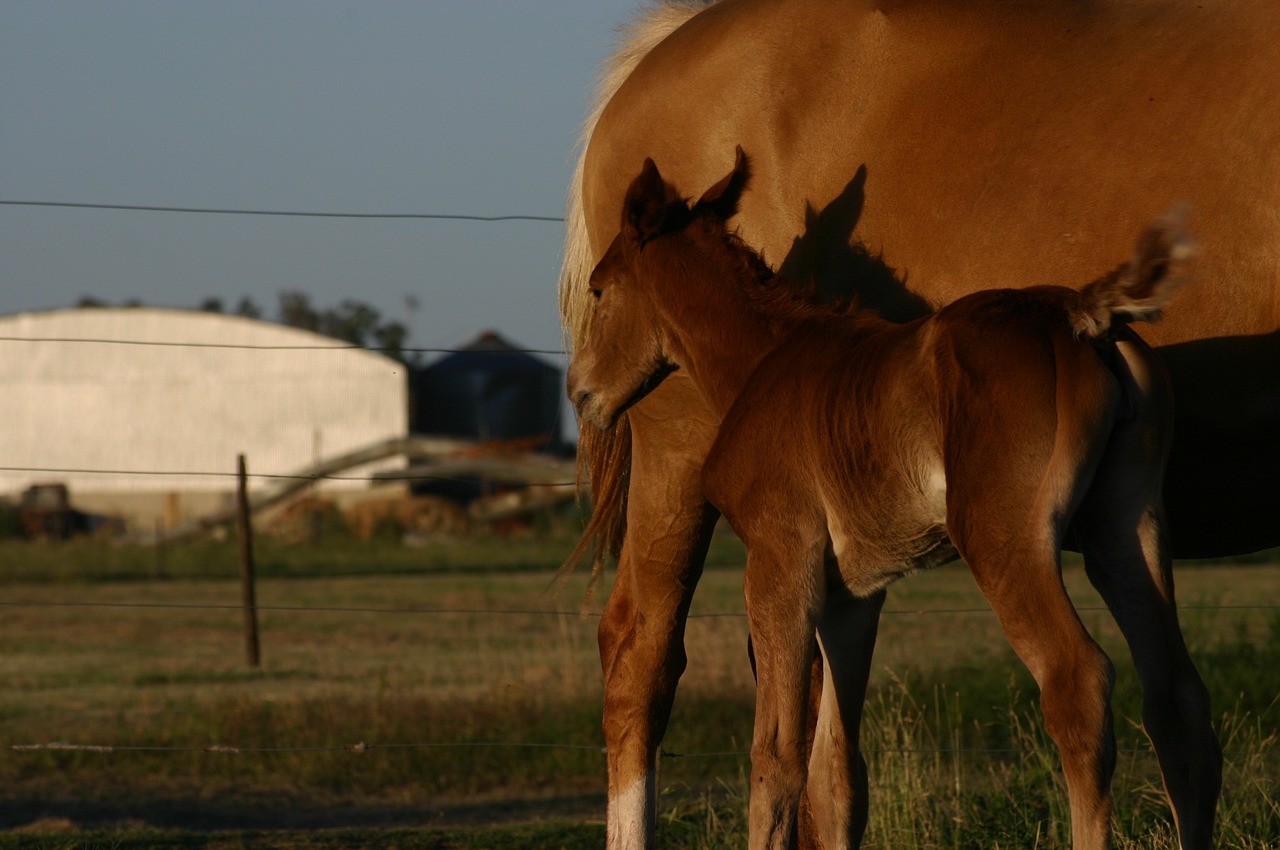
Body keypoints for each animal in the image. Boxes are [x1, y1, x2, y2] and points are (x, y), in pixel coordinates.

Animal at [563, 3, 1280, 844]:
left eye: (603, 288)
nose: (581, 389)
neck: (772, 354)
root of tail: (1084, 316)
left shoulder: (780, 558)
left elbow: (777, 756)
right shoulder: (843, 585)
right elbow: (827, 766)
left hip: (1006, 538)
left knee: (1082, 683)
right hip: (1122, 527)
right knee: (1177, 702)